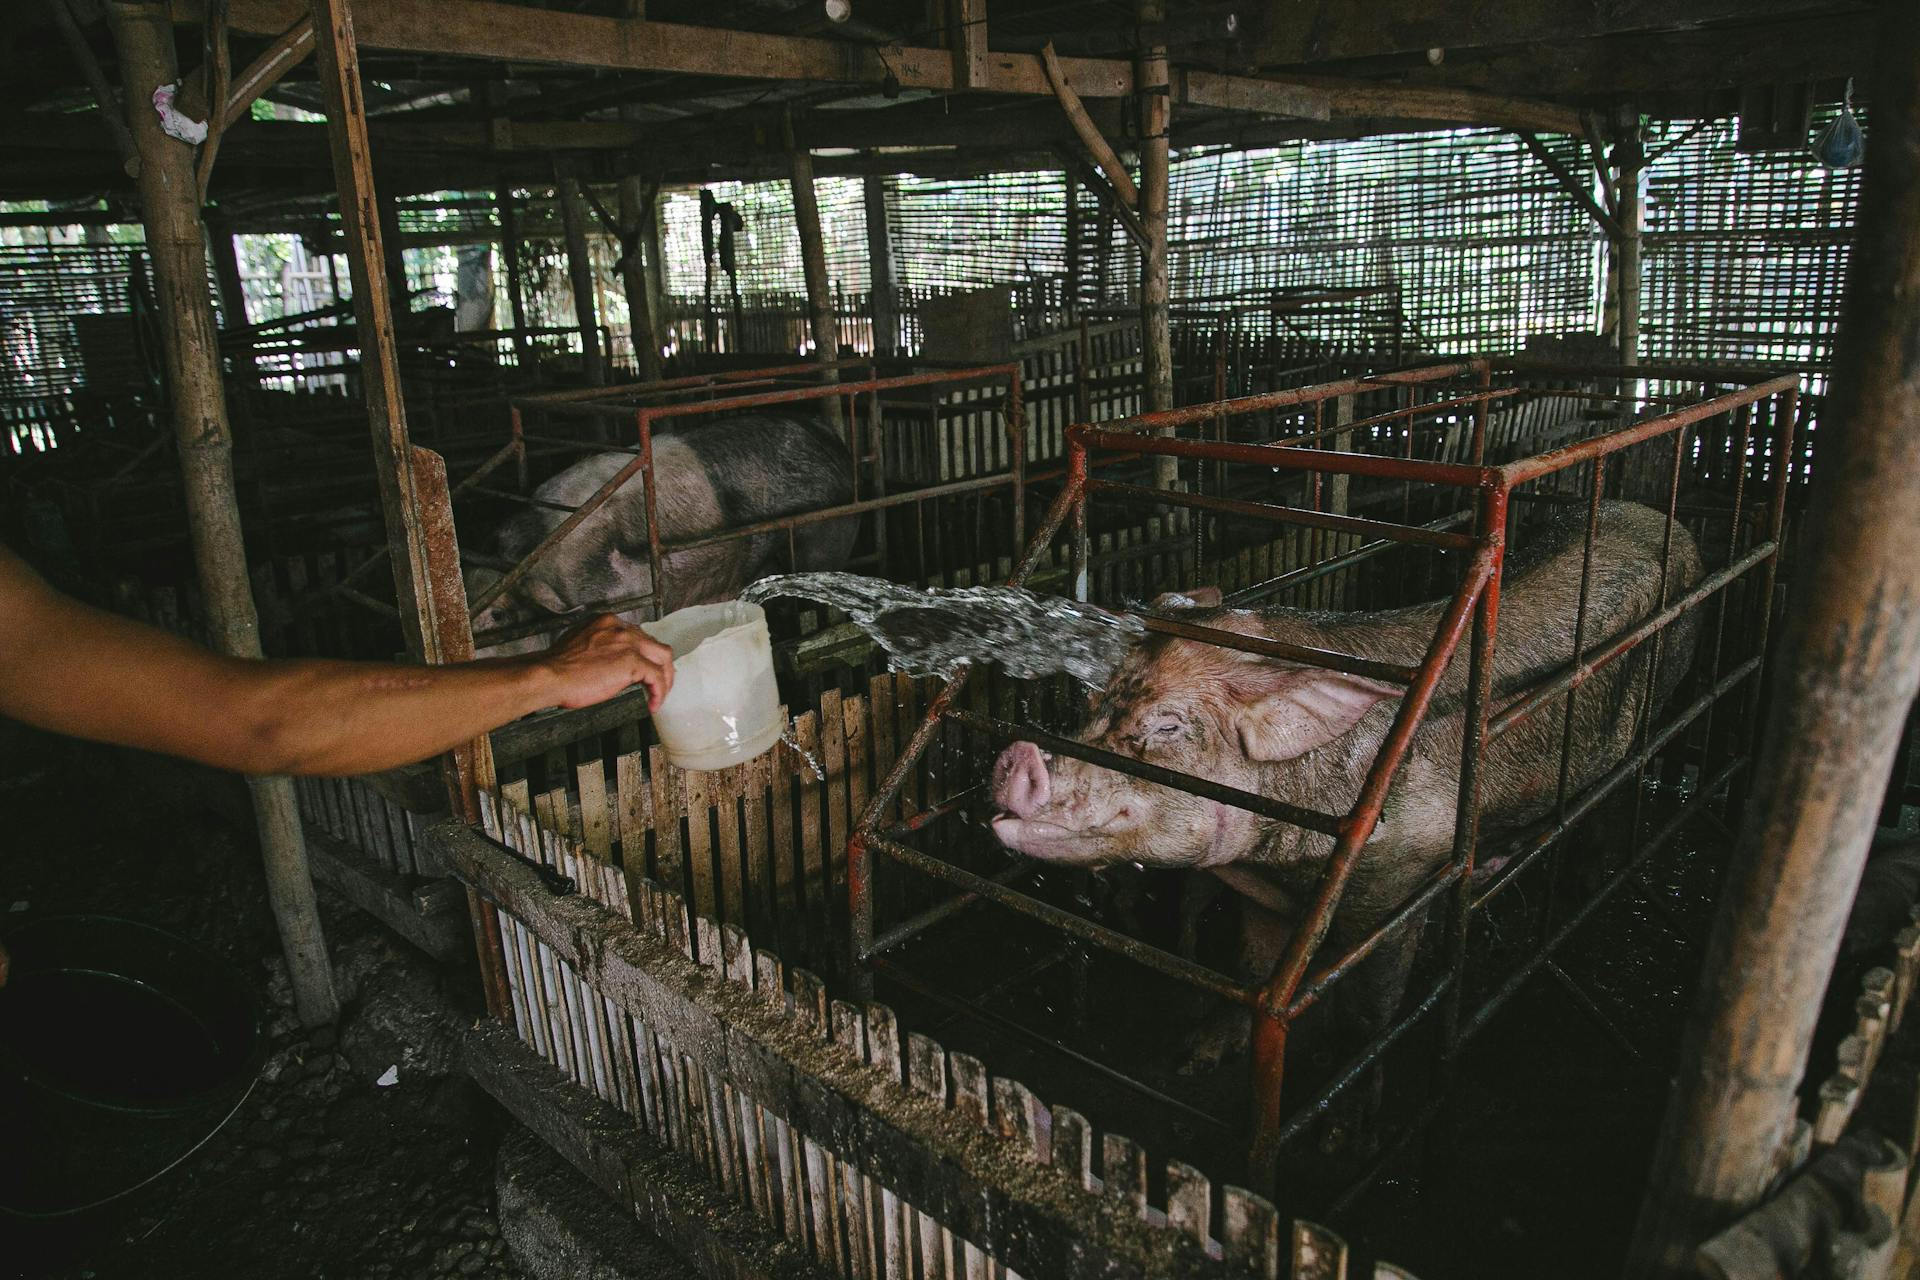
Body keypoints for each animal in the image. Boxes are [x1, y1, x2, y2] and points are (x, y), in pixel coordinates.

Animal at [998, 498, 1704, 1074]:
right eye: (1093, 703)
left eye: (1167, 725)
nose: (1015, 757)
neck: (1286, 861)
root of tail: (1663, 517)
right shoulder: (1264, 893)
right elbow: (1250, 970)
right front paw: (1195, 1057)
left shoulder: (1401, 879)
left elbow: (1373, 1014)